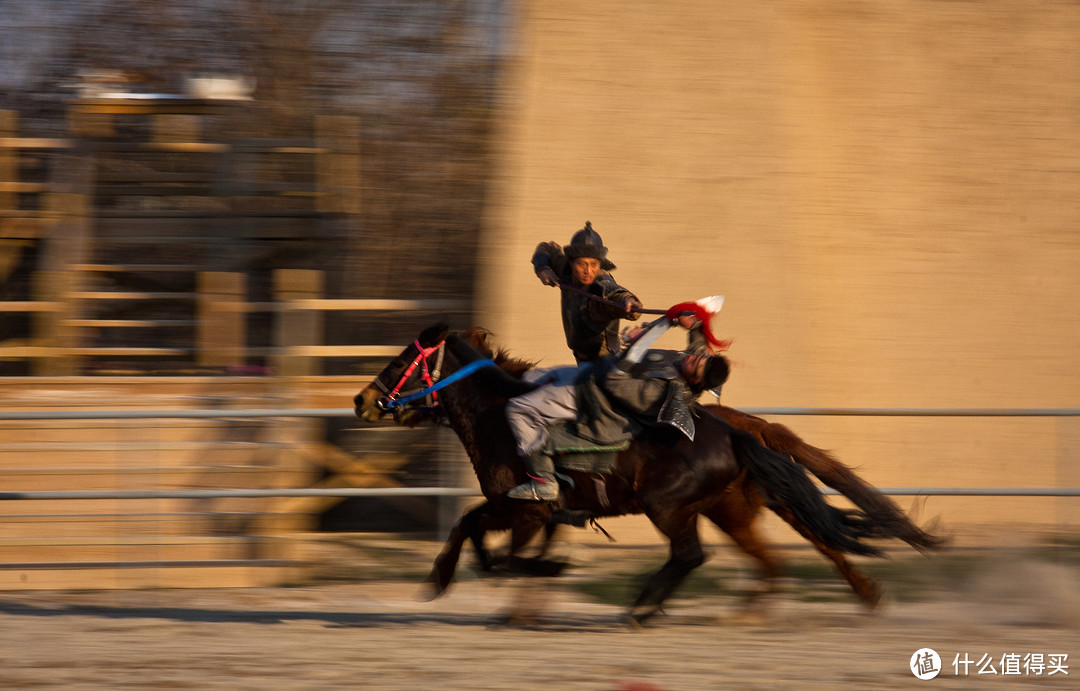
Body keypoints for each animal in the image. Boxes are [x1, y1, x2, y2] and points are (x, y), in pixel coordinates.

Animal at [354, 323, 937, 626]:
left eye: (403, 359)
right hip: (729, 509)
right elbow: (477, 534)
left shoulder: (526, 510)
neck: (499, 416)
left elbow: (495, 545)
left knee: (692, 556)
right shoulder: (525, 512)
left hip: (672, 508)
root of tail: (735, 430)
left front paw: (464, 581)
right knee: (785, 553)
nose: (361, 400)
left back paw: (642, 606)